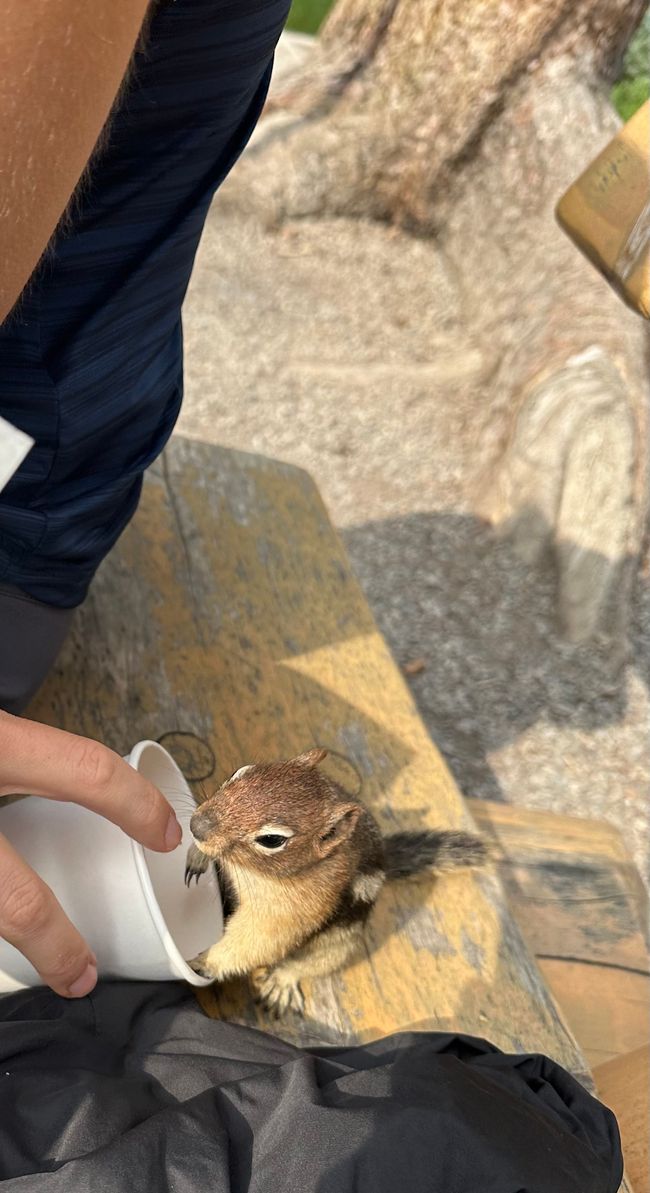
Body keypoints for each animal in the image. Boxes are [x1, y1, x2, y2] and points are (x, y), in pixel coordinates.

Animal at [184, 744, 484, 1016]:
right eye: (240, 771)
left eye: (272, 839)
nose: (196, 826)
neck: (251, 872)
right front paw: (196, 855)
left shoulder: (288, 913)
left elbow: (256, 940)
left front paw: (206, 961)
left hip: (337, 948)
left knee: (303, 965)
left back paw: (281, 983)